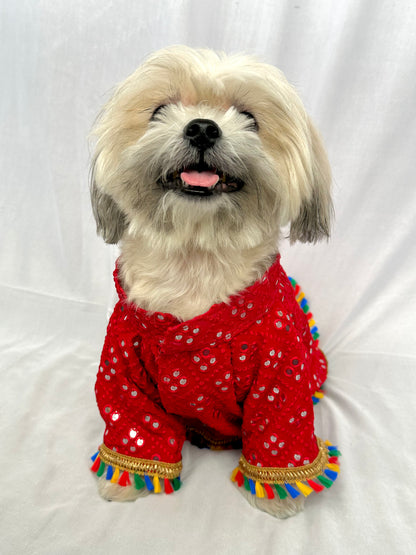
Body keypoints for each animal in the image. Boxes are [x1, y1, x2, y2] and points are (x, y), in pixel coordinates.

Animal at [88, 45, 338, 520]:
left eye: (250, 117)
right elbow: (135, 425)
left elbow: (278, 432)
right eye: (159, 111)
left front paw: (279, 496)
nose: (202, 127)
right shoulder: (123, 366)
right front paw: (128, 480)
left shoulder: (280, 375)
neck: (197, 259)